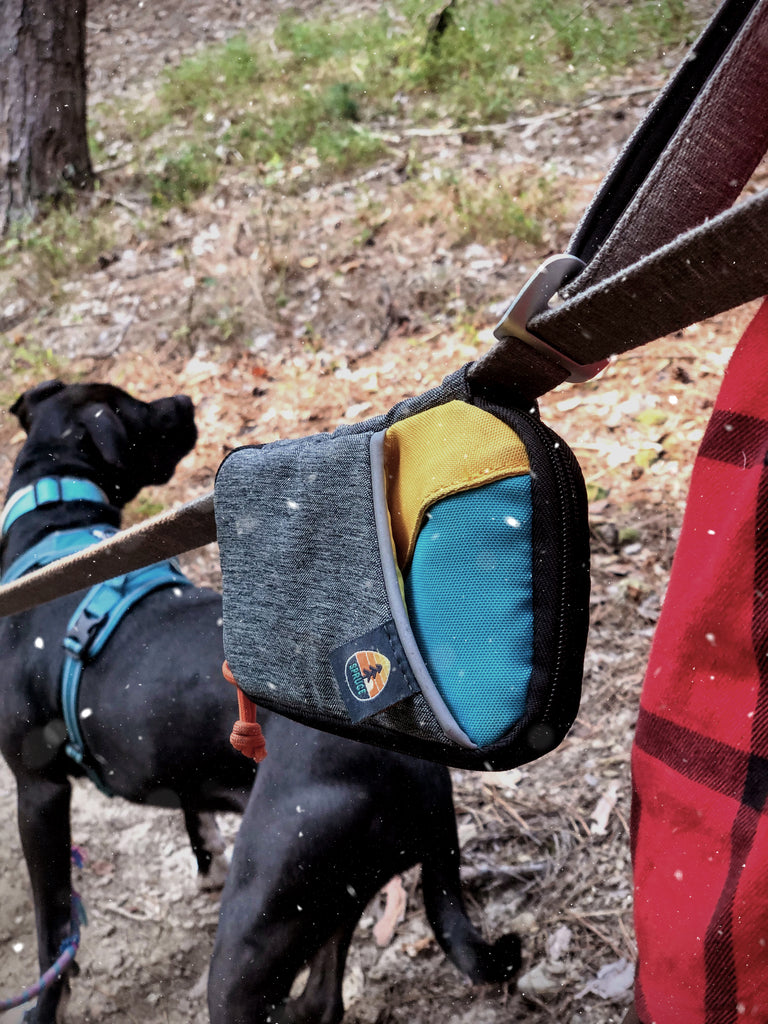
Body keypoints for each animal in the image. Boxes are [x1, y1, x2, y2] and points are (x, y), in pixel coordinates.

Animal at [1, 382, 524, 1024]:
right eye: (138, 406)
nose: (185, 402)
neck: (55, 524)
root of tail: (421, 771)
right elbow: (191, 810)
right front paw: (206, 861)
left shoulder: (39, 791)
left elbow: (53, 930)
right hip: (325, 899)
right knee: (323, 998)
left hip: (255, 927)